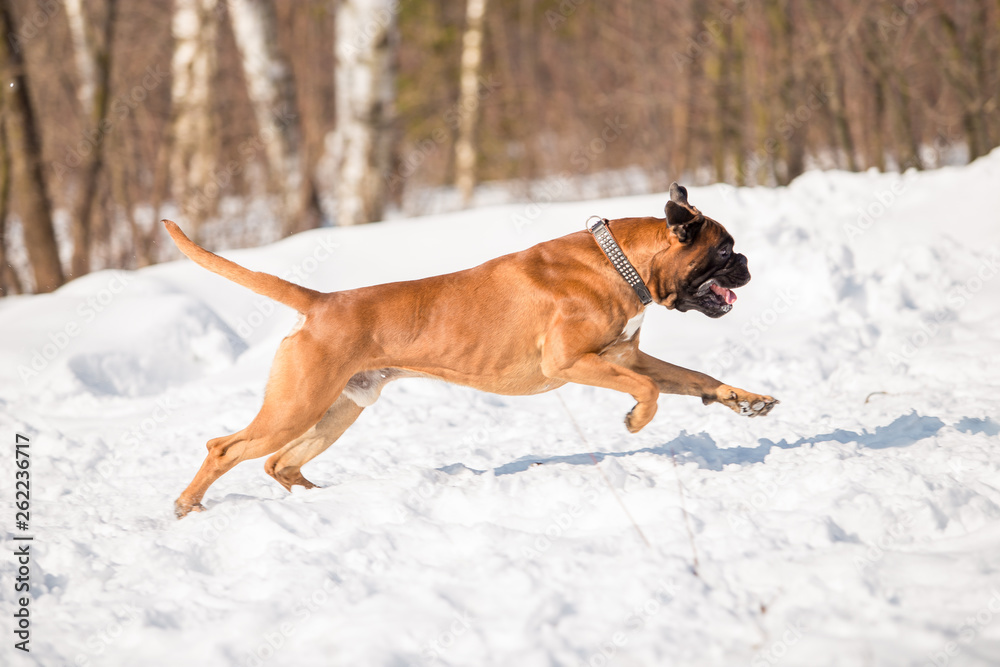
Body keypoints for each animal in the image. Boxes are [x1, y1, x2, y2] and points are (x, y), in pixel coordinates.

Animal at [164, 184, 776, 520]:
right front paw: (635, 421)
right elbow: (650, 391)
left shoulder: (623, 358)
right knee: (226, 448)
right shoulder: (578, 364)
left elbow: (694, 376)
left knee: (280, 462)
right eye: (724, 251)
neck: (620, 262)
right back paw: (187, 505)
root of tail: (321, 301)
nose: (748, 263)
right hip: (296, 405)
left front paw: (746, 399)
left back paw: (323, 498)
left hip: (336, 410)